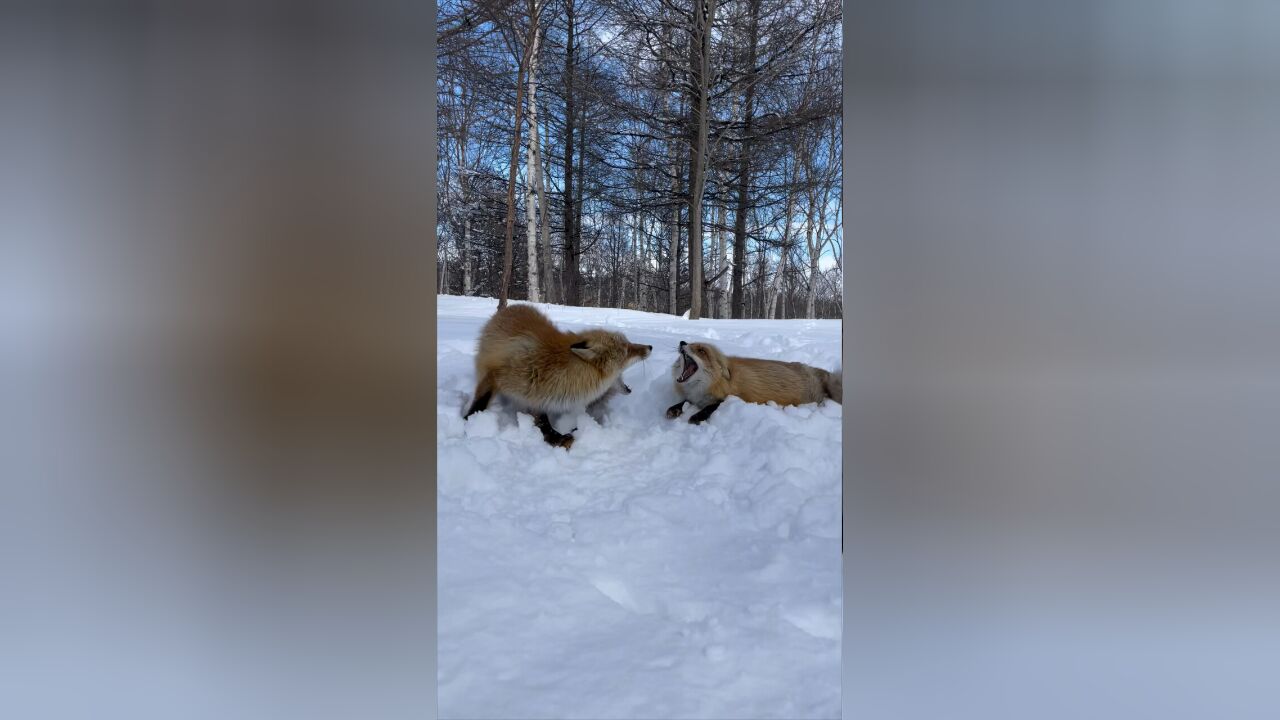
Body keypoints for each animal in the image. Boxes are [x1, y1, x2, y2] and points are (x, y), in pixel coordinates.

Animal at [463, 303, 650, 448]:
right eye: (627, 349)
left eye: (629, 344)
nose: (650, 346)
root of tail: (513, 306)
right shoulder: (496, 375)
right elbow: (479, 403)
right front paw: (467, 423)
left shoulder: (537, 396)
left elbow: (543, 422)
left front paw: (556, 437)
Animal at [670, 340, 839, 422]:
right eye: (690, 344)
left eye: (701, 350)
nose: (682, 342)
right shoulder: (695, 397)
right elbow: (684, 402)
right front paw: (674, 409)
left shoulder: (732, 398)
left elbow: (712, 407)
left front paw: (697, 416)